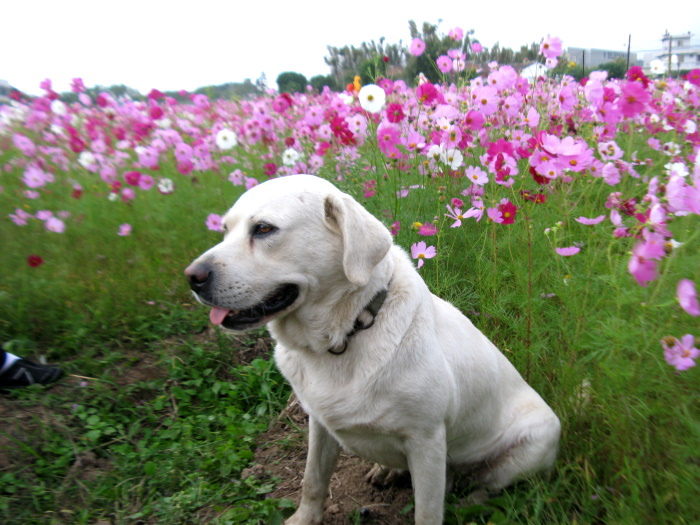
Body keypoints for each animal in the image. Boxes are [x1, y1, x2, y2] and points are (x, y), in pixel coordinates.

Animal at [183, 174, 560, 520]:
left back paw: (465, 504)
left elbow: (427, 512)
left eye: (263, 228)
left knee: (482, 487)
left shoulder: (427, 441)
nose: (192, 277)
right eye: (225, 229)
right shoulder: (319, 424)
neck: (348, 330)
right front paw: (304, 518)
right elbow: (312, 481)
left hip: (535, 443)